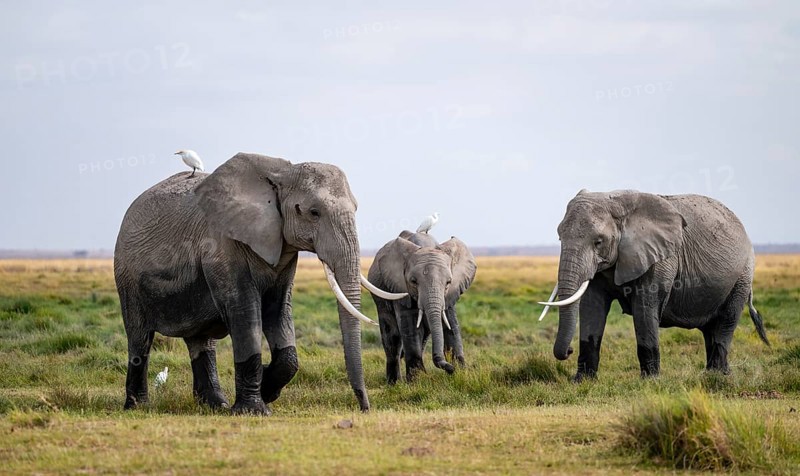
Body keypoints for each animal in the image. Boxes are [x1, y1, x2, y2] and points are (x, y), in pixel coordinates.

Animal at [114, 153, 406, 414]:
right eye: (313, 212)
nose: (365, 408)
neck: (282, 172)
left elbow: (279, 312)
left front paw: (266, 391)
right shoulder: (221, 246)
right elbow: (245, 313)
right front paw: (254, 410)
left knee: (201, 341)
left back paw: (215, 405)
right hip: (127, 277)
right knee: (139, 339)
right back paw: (138, 407)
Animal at [367, 231, 477, 384]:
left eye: (448, 282)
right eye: (413, 281)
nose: (449, 368)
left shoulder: (449, 295)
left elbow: (451, 325)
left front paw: (460, 374)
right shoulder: (399, 288)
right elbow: (410, 327)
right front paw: (417, 381)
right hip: (380, 297)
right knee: (392, 336)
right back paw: (394, 383)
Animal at [539, 190, 769, 381]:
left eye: (598, 242)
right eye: (560, 237)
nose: (568, 351)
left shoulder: (660, 258)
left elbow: (644, 308)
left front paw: (650, 382)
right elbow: (592, 308)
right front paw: (582, 381)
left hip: (742, 276)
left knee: (726, 321)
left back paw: (717, 376)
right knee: (710, 329)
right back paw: (717, 374)